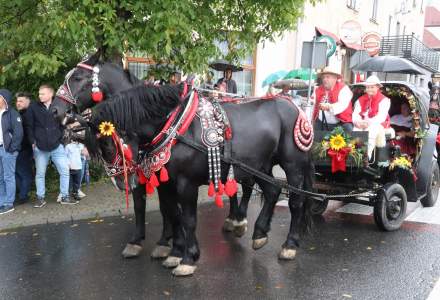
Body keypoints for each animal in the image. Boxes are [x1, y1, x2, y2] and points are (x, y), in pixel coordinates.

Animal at [51, 53, 256, 258]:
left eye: (77, 77)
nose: (54, 110)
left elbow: (167, 209)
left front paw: (168, 243)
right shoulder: (147, 174)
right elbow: (144, 206)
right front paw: (144, 241)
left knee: (247, 186)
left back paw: (239, 221)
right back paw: (233, 220)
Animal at [82, 83, 314, 276]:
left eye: (109, 145)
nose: (123, 183)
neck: (175, 128)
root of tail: (296, 107)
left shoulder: (187, 184)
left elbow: (188, 219)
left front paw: (188, 258)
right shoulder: (167, 183)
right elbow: (173, 215)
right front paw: (174, 253)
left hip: (292, 166)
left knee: (296, 202)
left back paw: (289, 245)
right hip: (259, 167)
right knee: (273, 191)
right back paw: (259, 234)